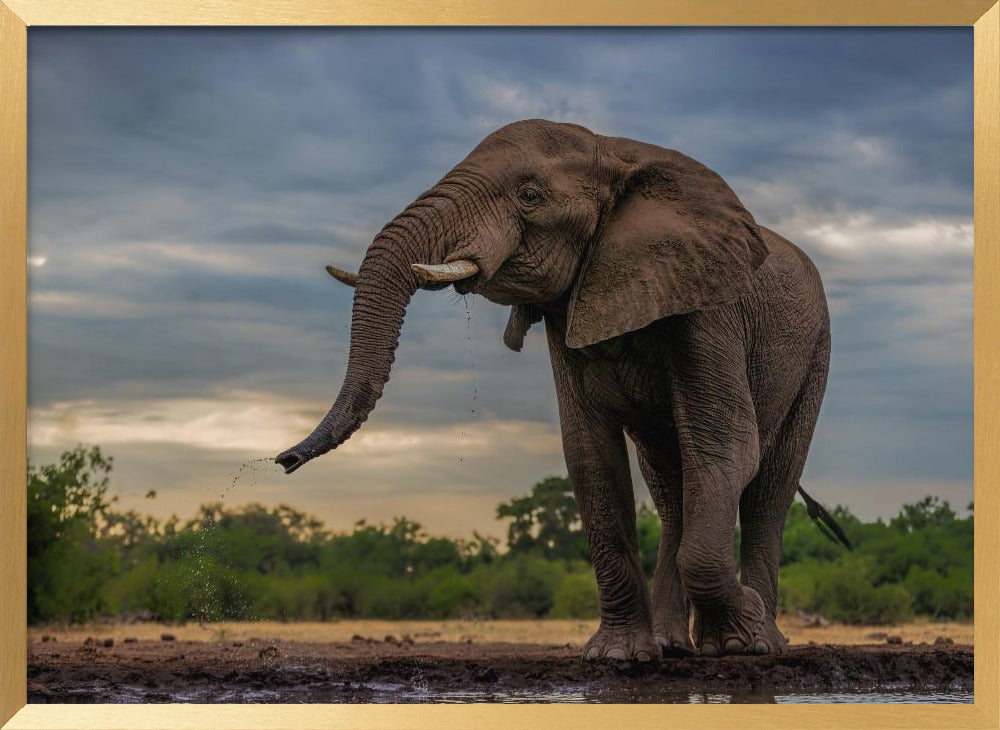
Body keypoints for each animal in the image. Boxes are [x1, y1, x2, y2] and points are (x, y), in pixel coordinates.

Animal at [276, 119, 842, 661]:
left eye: (529, 195)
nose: (283, 460)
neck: (615, 151)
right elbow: (590, 454)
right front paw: (617, 657)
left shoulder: (707, 306)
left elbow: (725, 445)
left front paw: (744, 630)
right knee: (670, 484)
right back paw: (675, 646)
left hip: (817, 352)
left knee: (769, 486)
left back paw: (758, 644)